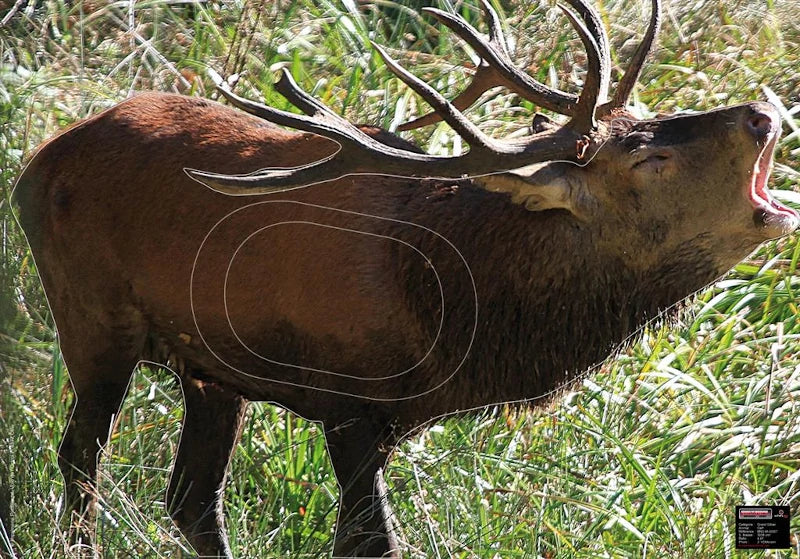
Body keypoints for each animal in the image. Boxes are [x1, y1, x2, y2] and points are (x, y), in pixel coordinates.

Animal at [11, 0, 798, 556]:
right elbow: (374, 543)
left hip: (209, 366)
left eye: (655, 117)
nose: (763, 112)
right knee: (80, 460)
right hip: (90, 315)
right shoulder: (348, 398)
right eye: (648, 160)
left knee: (191, 500)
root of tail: (36, 162)